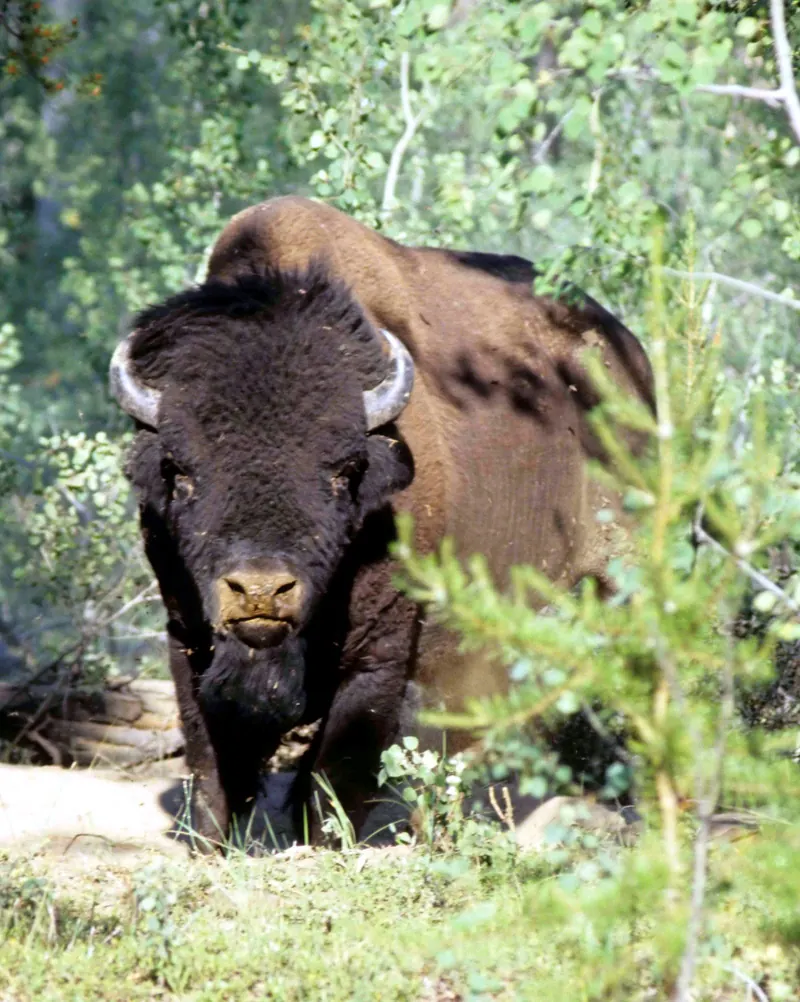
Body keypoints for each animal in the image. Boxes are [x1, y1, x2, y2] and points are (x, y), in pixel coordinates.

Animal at [110, 196, 653, 845]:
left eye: (344, 470)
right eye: (179, 469)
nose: (261, 591)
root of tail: (630, 360)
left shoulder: (380, 649)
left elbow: (340, 762)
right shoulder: (186, 633)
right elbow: (209, 752)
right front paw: (209, 840)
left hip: (628, 570)